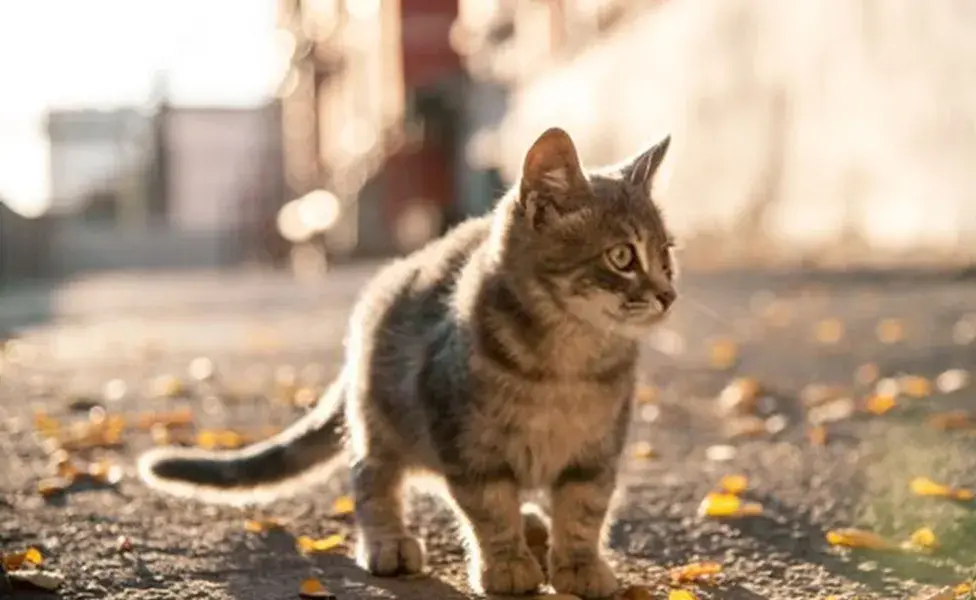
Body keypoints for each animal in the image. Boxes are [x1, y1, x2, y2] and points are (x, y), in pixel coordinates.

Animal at [137, 125, 676, 596]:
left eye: (667, 256)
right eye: (623, 257)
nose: (669, 294)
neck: (565, 366)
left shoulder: (598, 450)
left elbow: (584, 507)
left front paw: (579, 564)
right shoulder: (464, 439)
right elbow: (489, 504)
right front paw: (505, 562)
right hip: (384, 419)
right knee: (372, 478)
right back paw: (389, 542)